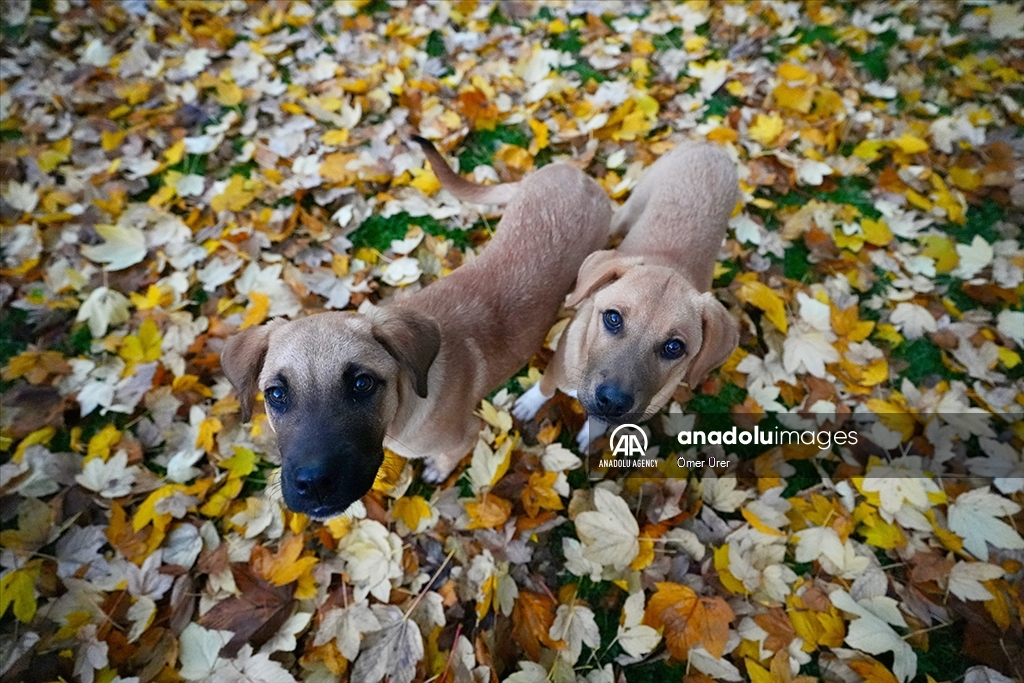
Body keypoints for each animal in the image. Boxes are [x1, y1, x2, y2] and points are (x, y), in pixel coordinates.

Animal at [221, 139, 610, 518]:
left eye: (362, 384)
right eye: (275, 394)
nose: (314, 484)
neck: (407, 398)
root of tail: (572, 173)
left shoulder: (468, 433)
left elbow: (450, 453)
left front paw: (439, 469)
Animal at [516, 141, 741, 446]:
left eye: (674, 347)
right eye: (613, 318)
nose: (612, 402)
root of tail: (710, 145)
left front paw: (592, 433)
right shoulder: (557, 368)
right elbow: (545, 387)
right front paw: (528, 404)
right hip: (629, 208)